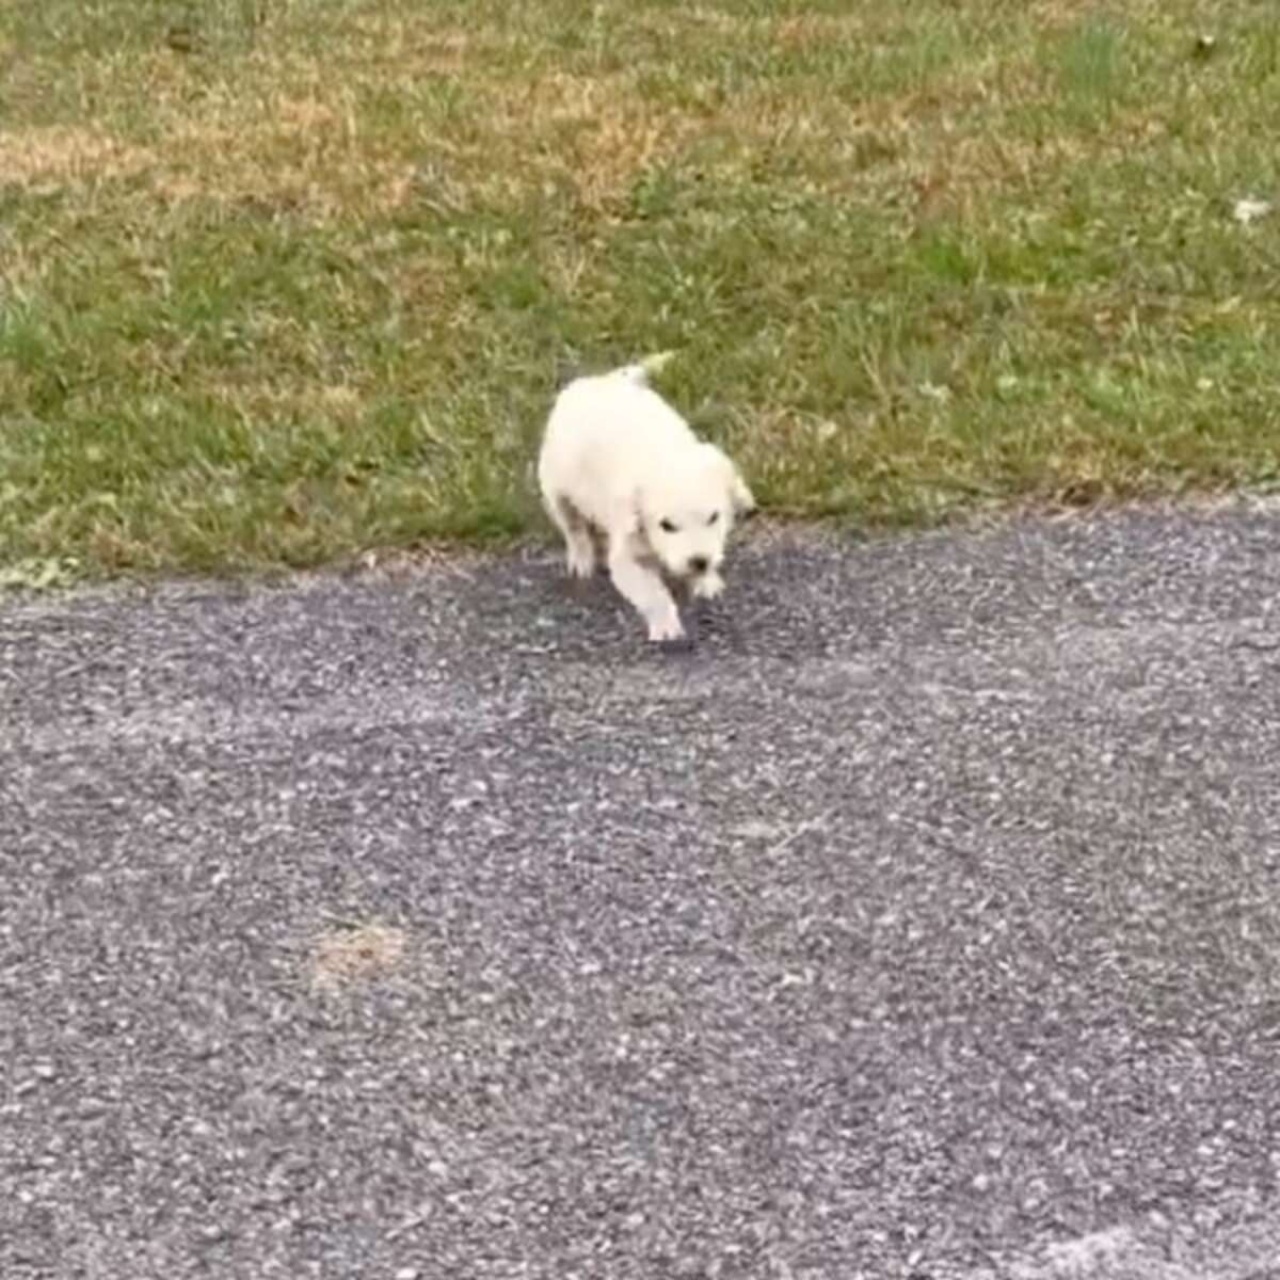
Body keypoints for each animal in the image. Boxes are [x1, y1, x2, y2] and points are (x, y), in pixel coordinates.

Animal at [537, 353, 752, 640]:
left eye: (713, 517)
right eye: (666, 525)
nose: (699, 562)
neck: (663, 457)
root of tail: (596, 381)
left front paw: (706, 580)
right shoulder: (626, 554)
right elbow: (652, 593)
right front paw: (665, 624)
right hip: (556, 488)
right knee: (573, 527)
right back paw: (581, 559)